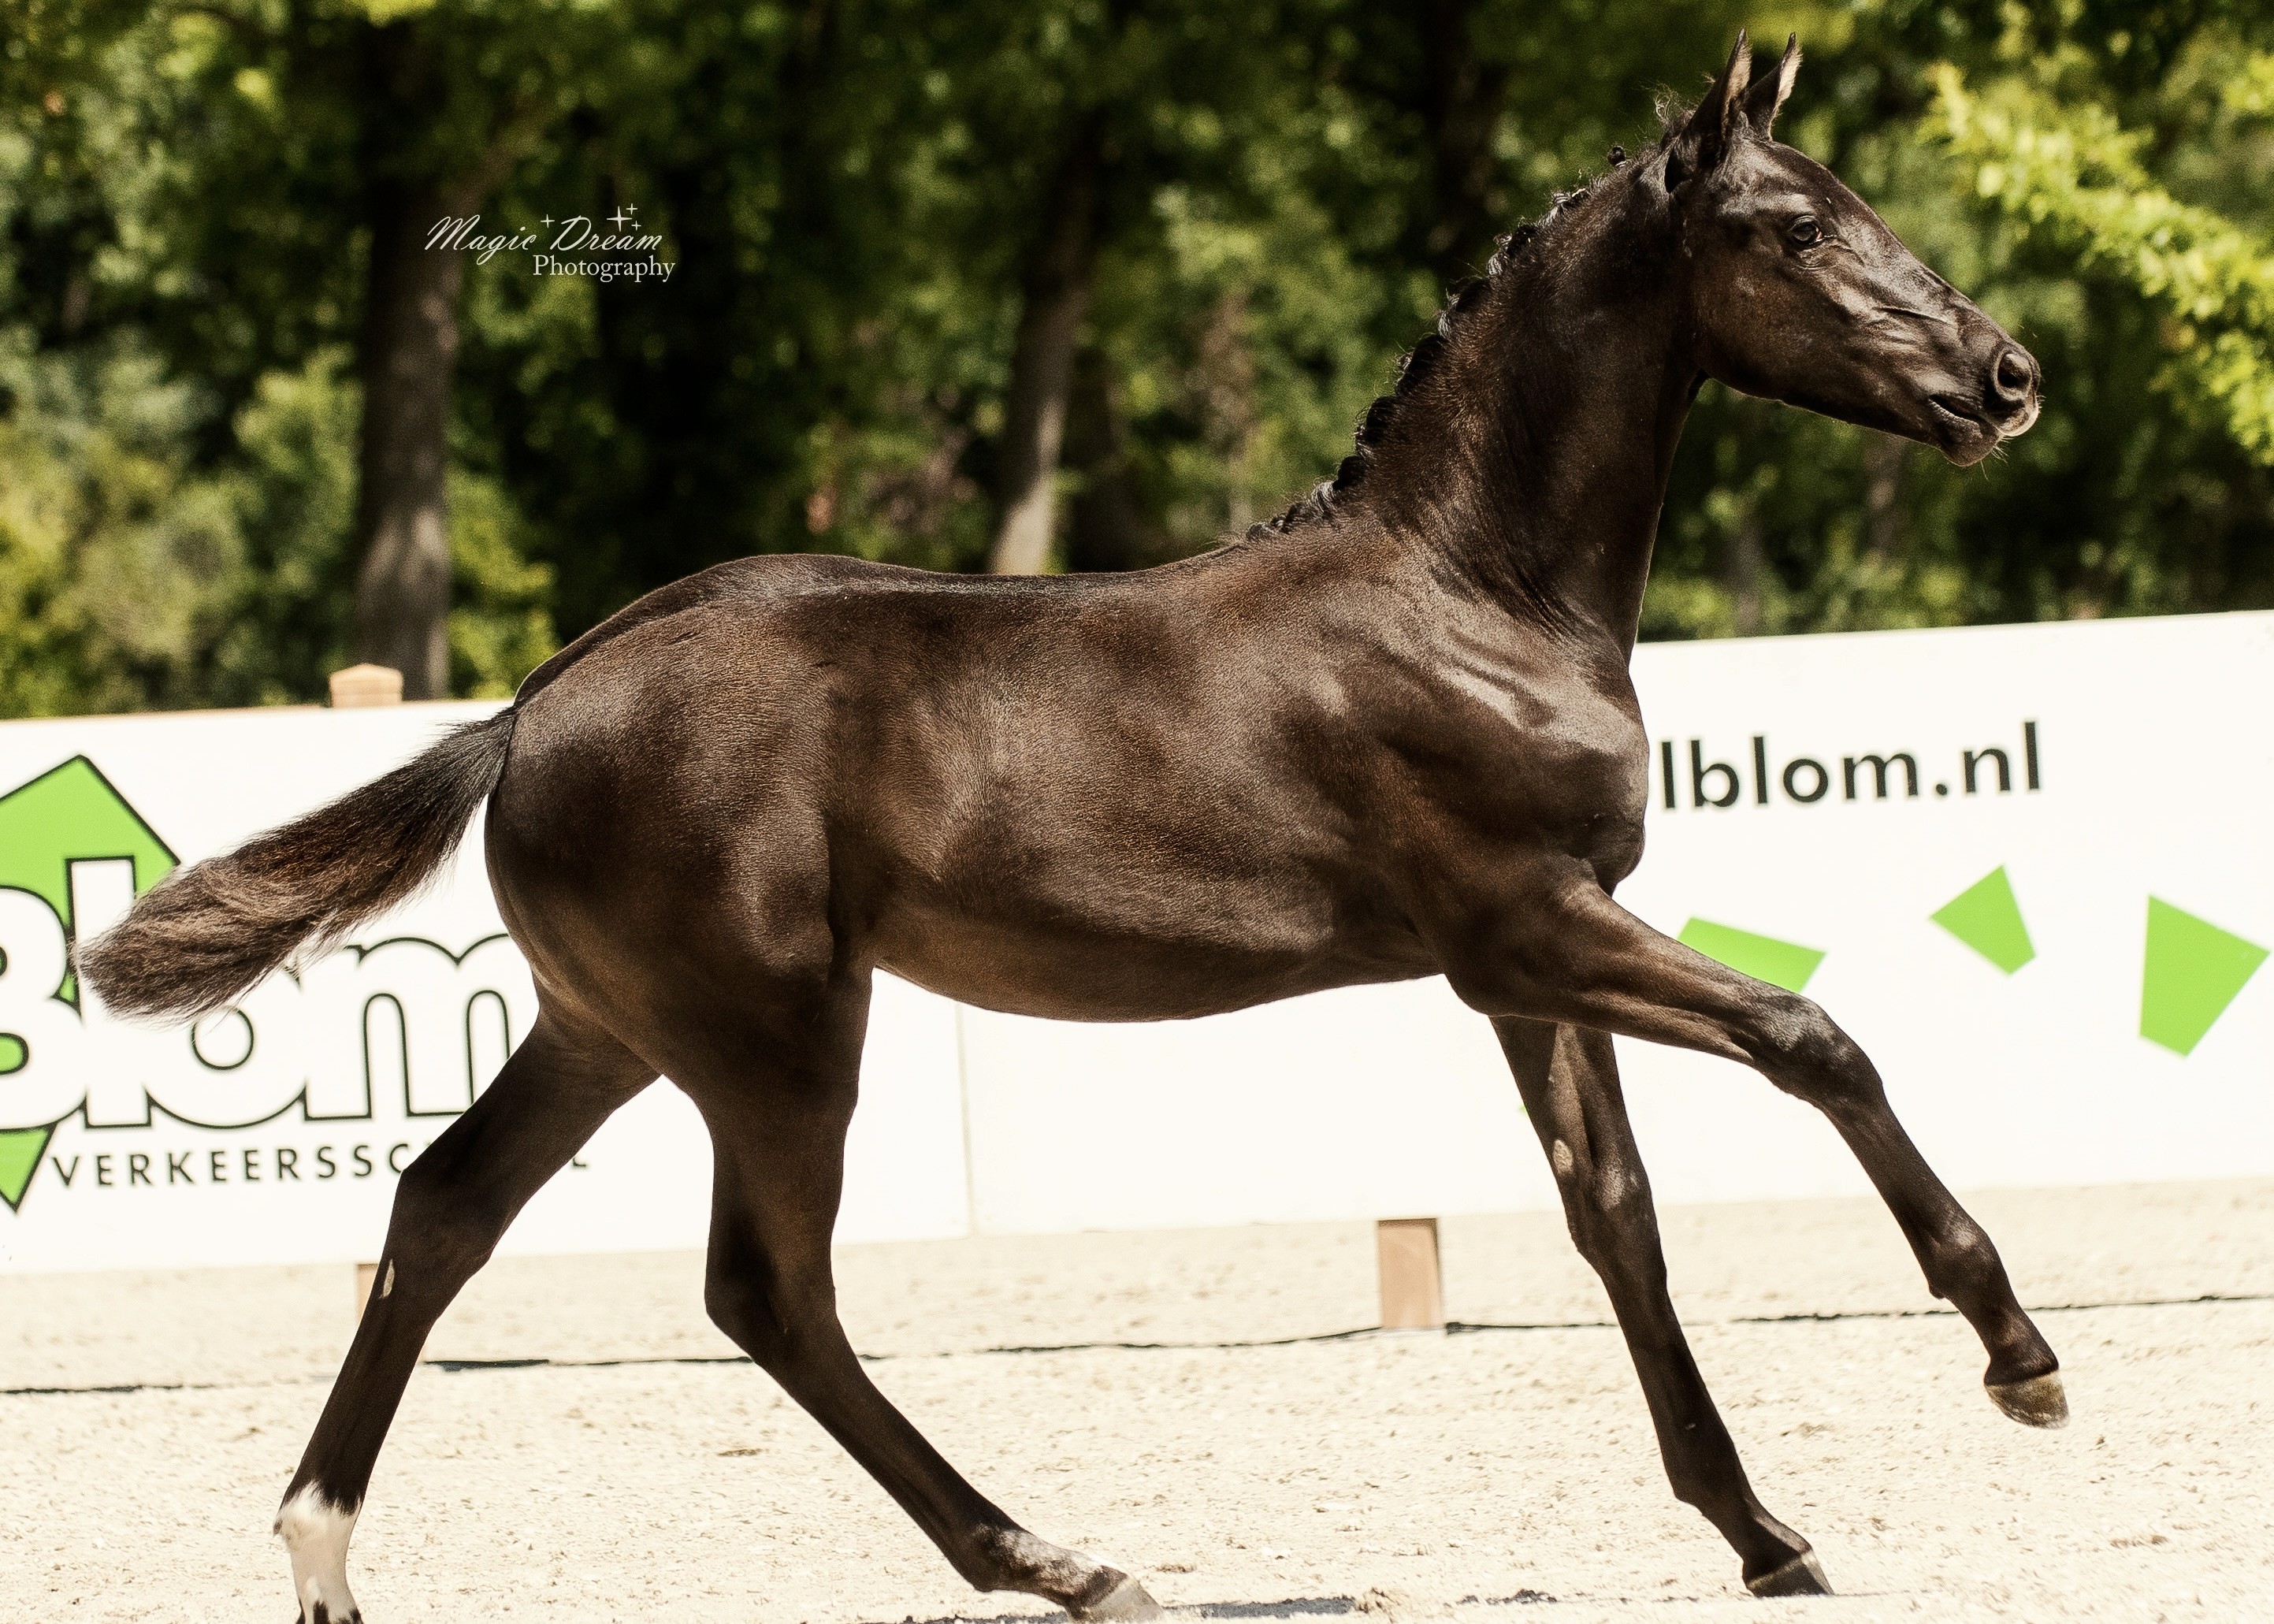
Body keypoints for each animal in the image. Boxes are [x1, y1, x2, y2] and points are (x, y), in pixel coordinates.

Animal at [82, 32, 2063, 1622]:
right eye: (1791, 231)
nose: (2005, 378)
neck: (1471, 594)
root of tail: (534, 703)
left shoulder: (1523, 967)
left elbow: (1617, 1218)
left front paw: (1763, 1531)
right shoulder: (1524, 922)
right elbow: (1817, 1041)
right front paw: (2019, 1359)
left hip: (607, 1028)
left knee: (444, 1211)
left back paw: (326, 1556)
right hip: (774, 1035)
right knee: (765, 1291)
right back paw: (1065, 1560)